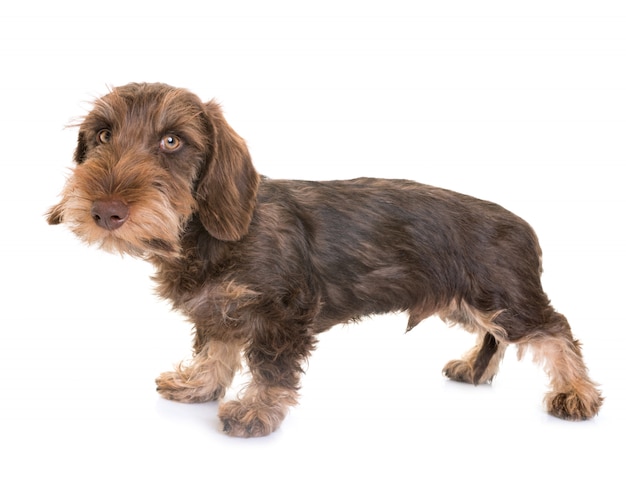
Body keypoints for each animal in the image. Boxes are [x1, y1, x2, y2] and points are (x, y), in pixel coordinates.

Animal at [46, 82, 604, 436]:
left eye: (171, 140)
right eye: (102, 135)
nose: (106, 211)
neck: (206, 236)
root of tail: (522, 225)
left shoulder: (283, 315)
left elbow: (270, 369)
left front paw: (255, 412)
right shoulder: (220, 310)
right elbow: (216, 349)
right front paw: (199, 384)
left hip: (503, 299)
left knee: (556, 330)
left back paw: (577, 394)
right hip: (464, 302)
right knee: (496, 337)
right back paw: (474, 367)